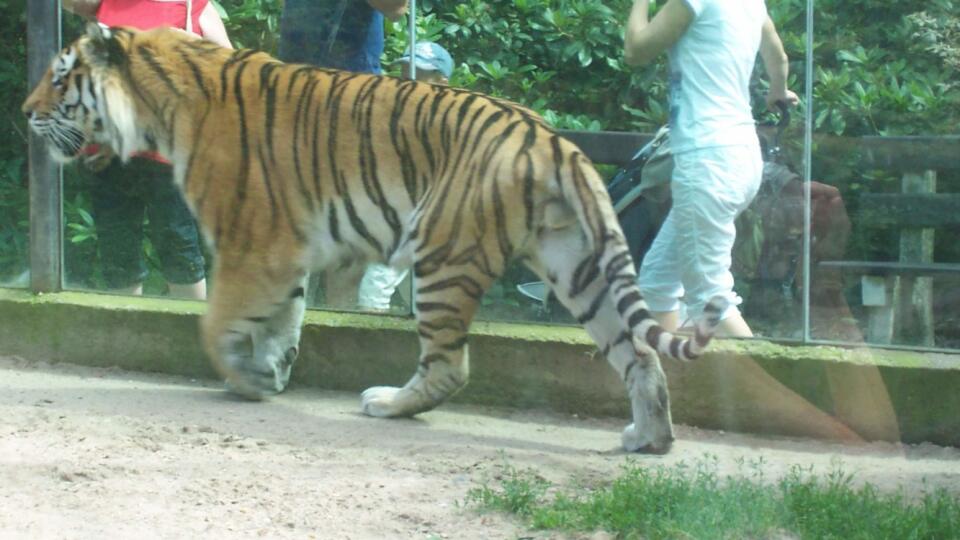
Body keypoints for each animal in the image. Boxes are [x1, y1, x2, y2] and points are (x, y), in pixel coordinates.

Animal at [22, 23, 728, 454]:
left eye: (60, 77)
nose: (24, 114)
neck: (160, 101)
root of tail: (553, 139)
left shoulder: (251, 240)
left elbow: (216, 323)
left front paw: (244, 378)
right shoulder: (286, 247)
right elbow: (282, 319)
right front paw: (269, 371)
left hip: (441, 253)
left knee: (449, 366)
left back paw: (388, 403)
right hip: (577, 265)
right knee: (640, 354)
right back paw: (649, 439)